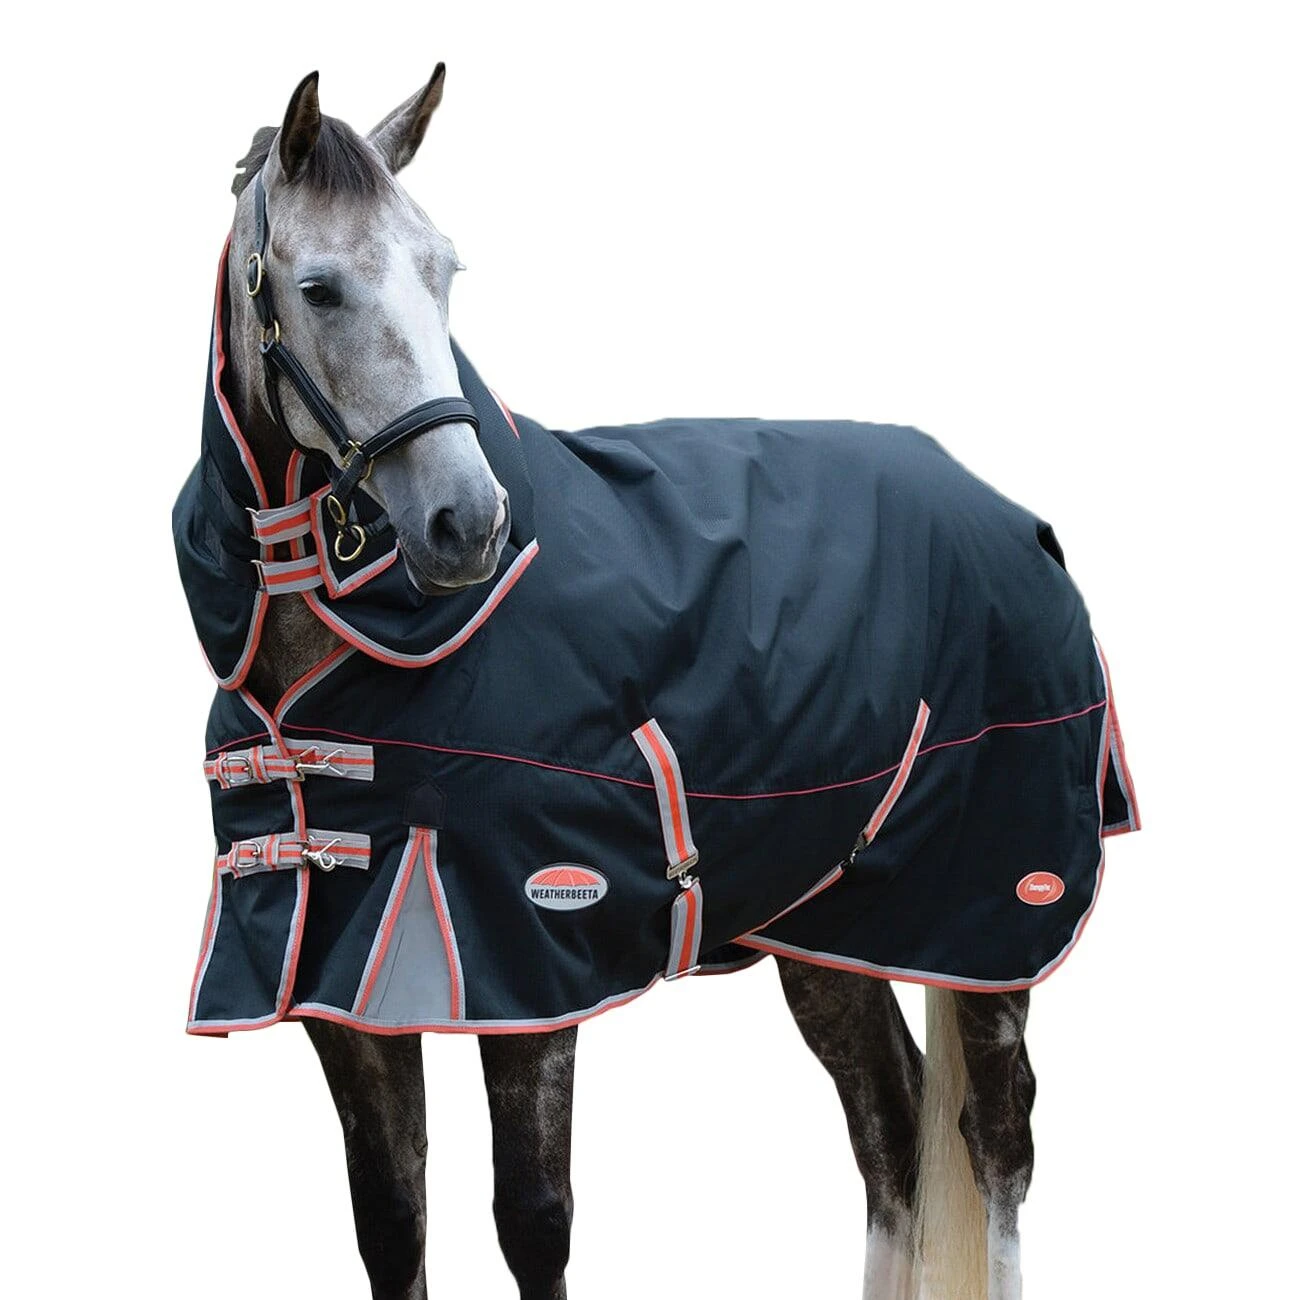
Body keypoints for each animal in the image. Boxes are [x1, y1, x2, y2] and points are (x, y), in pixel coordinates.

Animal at [180, 64, 1137, 1300]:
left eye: (444, 269)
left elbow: (533, 1223)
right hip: (833, 927)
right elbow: (392, 1224)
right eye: (319, 287)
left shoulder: (529, 958)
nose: (466, 522)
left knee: (996, 1146)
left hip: (987, 917)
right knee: (890, 1130)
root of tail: (1017, 520)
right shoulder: (339, 986)